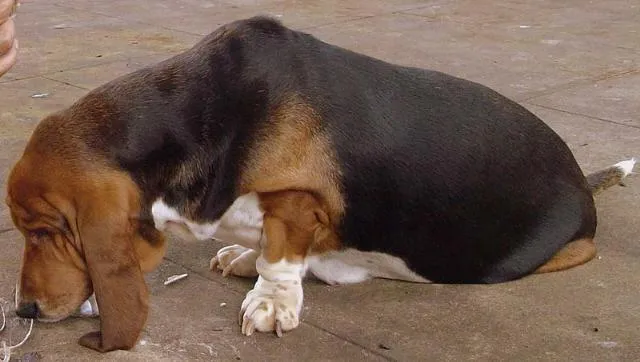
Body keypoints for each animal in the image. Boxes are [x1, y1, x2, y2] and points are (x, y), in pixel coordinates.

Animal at [3, 16, 636, 350]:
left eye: (45, 232)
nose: (25, 309)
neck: (207, 114)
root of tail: (581, 178)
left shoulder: (298, 201)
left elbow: (281, 255)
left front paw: (269, 302)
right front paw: (244, 256)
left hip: (561, 247)